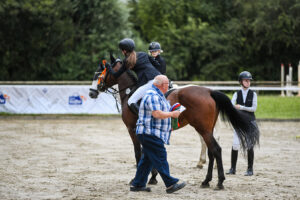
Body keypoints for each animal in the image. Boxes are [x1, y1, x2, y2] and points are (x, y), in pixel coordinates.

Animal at [91, 55, 258, 189]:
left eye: (99, 73)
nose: (92, 92)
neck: (128, 93)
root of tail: (209, 91)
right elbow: (150, 153)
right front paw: (153, 177)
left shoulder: (132, 130)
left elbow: (139, 153)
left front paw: (138, 179)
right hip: (206, 129)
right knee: (211, 150)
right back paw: (206, 181)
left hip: (202, 128)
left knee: (215, 150)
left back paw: (219, 182)